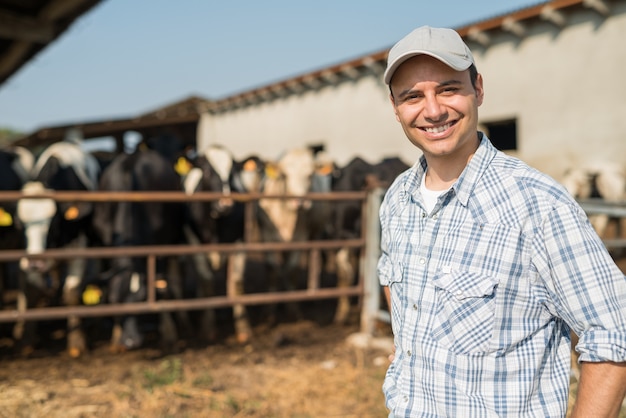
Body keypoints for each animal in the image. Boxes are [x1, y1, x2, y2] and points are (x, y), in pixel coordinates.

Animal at [14, 140, 100, 356]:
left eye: (52, 224)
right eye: (20, 224)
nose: (35, 262)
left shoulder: (78, 252)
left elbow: (72, 292)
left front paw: (77, 344)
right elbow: (32, 290)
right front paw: (27, 341)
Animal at [92, 149, 190, 352]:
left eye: (143, 299)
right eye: (114, 300)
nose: (131, 341)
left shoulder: (160, 246)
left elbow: (162, 287)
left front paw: (168, 335)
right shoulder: (104, 243)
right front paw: (115, 338)